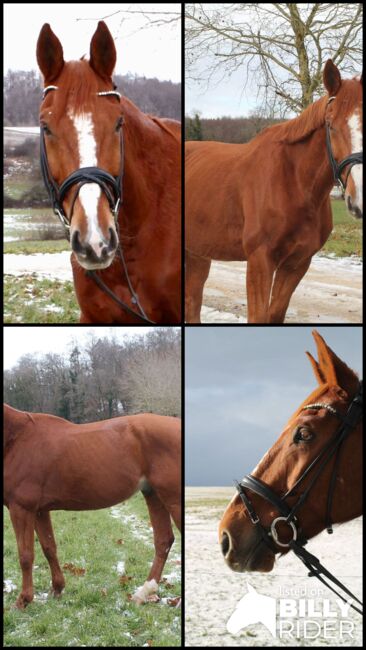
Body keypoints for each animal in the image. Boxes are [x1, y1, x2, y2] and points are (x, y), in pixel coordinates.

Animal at [2, 404, 180, 608]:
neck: (17, 437)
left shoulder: (21, 508)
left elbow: (25, 555)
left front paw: (23, 600)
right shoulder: (39, 510)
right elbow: (49, 548)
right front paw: (57, 589)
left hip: (172, 499)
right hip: (154, 495)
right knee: (163, 541)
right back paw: (143, 594)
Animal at [186, 60, 364, 322]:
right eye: (330, 125)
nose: (359, 198)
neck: (293, 183)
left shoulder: (296, 264)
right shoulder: (260, 261)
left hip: (198, 254)